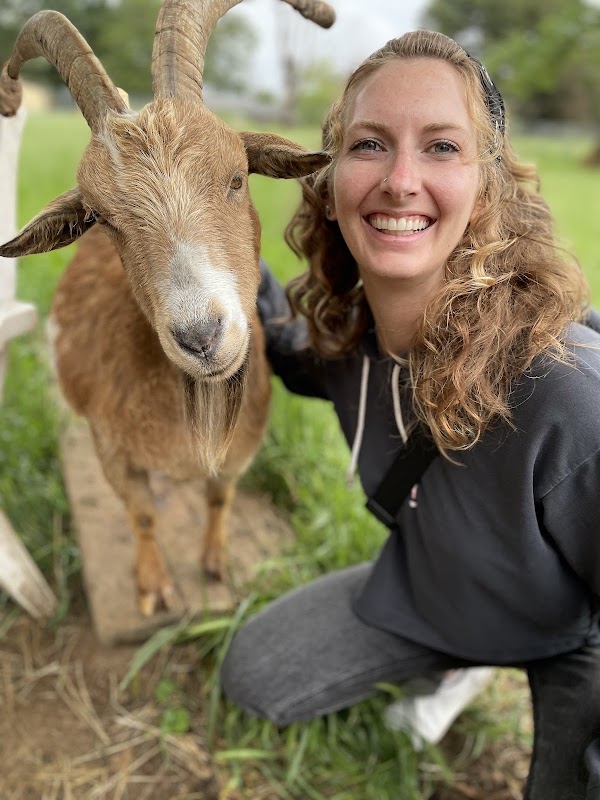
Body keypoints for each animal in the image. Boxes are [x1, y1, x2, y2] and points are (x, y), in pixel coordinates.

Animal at [0, 0, 334, 616]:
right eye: (102, 218)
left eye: (236, 178)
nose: (202, 337)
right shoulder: (111, 449)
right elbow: (141, 516)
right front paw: (154, 587)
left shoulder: (241, 449)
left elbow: (221, 498)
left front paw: (216, 565)